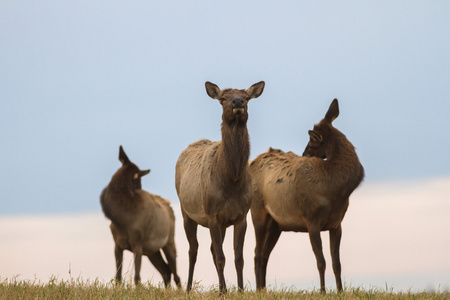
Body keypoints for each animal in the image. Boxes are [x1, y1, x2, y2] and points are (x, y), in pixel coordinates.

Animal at [100, 146, 181, 288]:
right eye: (138, 181)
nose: (139, 188)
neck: (121, 220)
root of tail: (169, 205)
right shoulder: (117, 245)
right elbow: (118, 277)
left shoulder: (137, 243)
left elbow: (137, 277)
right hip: (152, 252)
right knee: (166, 271)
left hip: (169, 242)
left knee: (176, 274)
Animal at [176, 81, 266, 292]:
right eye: (223, 98)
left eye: (247, 97)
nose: (238, 102)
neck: (231, 182)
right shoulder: (212, 215)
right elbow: (220, 257)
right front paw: (224, 291)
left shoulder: (241, 216)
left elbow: (238, 258)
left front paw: (240, 290)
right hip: (186, 212)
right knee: (193, 250)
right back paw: (188, 287)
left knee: (210, 248)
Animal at [251, 99, 364, 292]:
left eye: (311, 142)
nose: (304, 154)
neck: (335, 193)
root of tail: (251, 164)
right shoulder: (312, 220)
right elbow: (321, 262)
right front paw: (323, 291)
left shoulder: (337, 224)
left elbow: (337, 263)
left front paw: (340, 290)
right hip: (257, 212)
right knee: (257, 254)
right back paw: (258, 290)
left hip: (276, 225)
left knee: (265, 255)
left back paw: (263, 289)